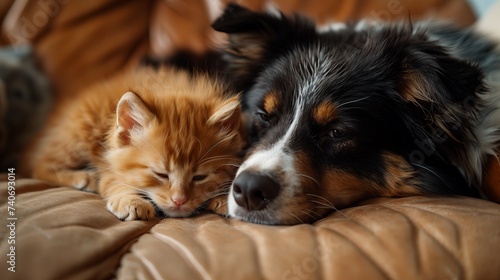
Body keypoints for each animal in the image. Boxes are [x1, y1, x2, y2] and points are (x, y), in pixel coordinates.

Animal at [27, 66, 244, 220]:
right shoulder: (108, 162)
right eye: (160, 174)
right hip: (79, 133)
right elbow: (115, 182)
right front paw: (130, 200)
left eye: (200, 177)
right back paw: (82, 178)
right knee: (39, 165)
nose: (179, 200)